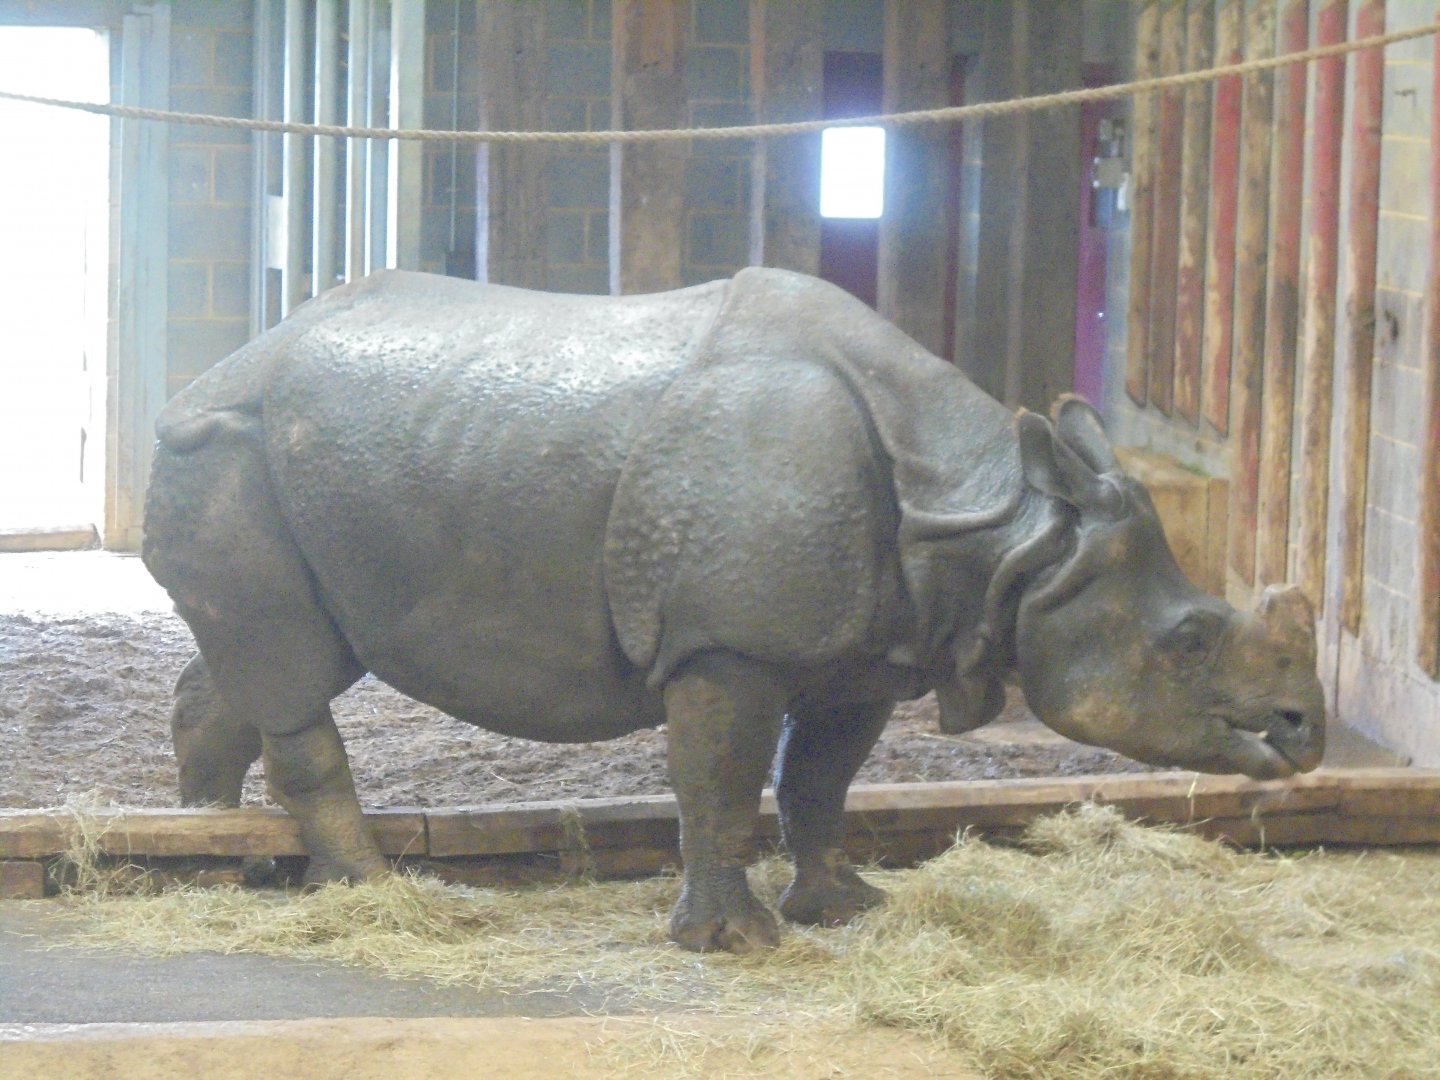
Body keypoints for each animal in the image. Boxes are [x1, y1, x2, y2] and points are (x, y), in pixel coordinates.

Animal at [142, 267, 1325, 953]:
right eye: (1190, 641)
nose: (1307, 731)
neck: (1009, 531)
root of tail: (206, 374)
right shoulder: (728, 644)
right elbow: (719, 780)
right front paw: (733, 944)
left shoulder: (870, 649)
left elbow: (818, 781)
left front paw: (844, 908)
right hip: (233, 445)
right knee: (291, 671)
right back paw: (372, 895)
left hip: (296, 469)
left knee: (270, 663)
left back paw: (224, 858)